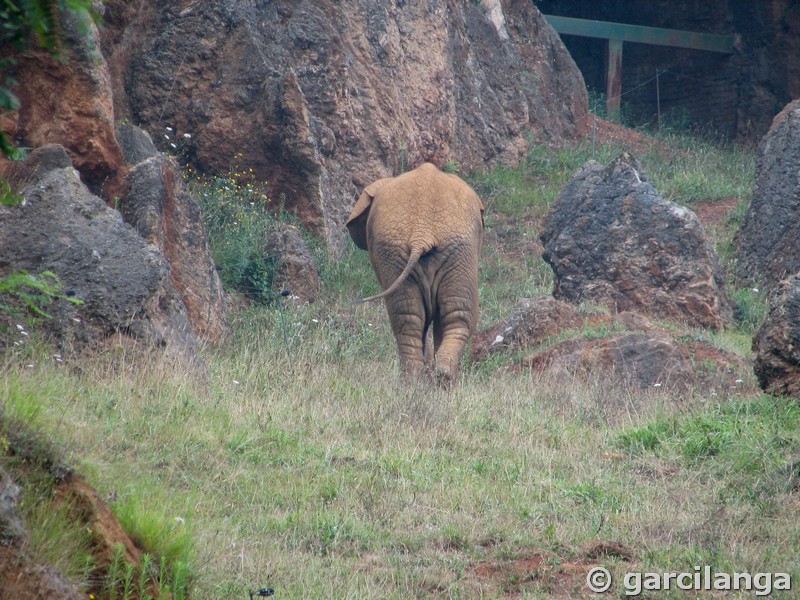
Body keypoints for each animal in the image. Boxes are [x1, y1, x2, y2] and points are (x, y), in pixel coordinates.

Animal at [344, 163, 482, 384]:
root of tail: (421, 233)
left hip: (444, 250)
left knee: (421, 316)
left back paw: (424, 381)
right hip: (426, 251)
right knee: (445, 315)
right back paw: (431, 380)